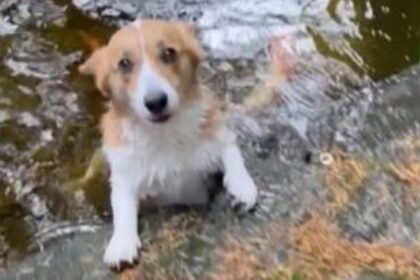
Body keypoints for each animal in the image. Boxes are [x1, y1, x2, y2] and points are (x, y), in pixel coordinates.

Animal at [77, 19, 258, 270]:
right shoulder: (124, 174)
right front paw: (122, 242)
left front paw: (241, 185)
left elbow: (231, 151)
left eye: (168, 53)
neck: (164, 134)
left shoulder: (216, 135)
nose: (156, 102)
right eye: (124, 64)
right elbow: (122, 204)